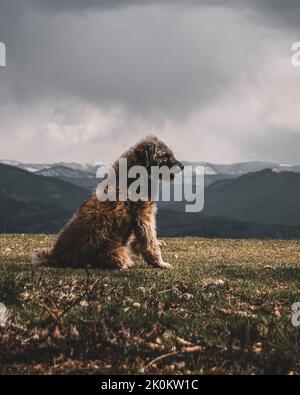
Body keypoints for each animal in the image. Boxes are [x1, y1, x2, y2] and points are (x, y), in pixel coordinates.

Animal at [32, 135, 183, 270]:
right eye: (164, 156)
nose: (182, 166)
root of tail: (56, 256)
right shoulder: (143, 215)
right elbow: (149, 240)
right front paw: (159, 262)